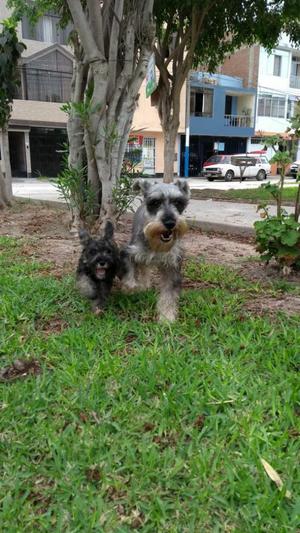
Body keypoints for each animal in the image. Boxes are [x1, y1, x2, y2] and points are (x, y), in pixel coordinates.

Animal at [120, 180, 189, 320]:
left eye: (178, 202)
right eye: (155, 202)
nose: (170, 222)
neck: (157, 244)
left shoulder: (172, 266)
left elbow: (169, 295)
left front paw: (167, 317)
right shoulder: (129, 252)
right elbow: (129, 274)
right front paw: (130, 288)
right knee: (144, 269)